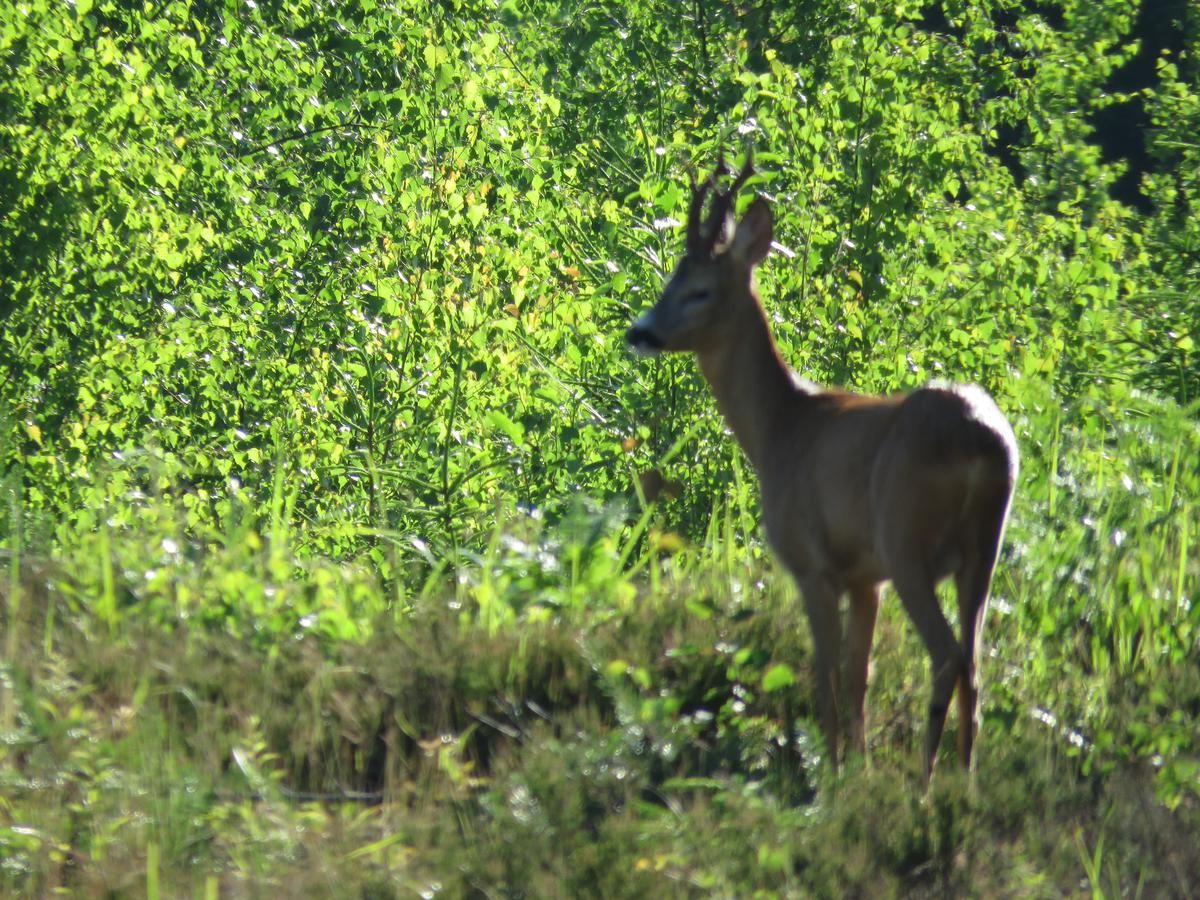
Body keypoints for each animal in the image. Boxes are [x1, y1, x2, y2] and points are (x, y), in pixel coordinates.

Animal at [624, 151, 1017, 777]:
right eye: (670, 281)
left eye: (699, 291)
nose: (640, 332)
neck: (779, 429)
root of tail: (981, 441)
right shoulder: (864, 578)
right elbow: (858, 677)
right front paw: (860, 768)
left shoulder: (812, 563)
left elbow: (824, 675)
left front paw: (831, 774)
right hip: (984, 550)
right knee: (975, 666)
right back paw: (966, 779)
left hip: (906, 538)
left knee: (946, 656)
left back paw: (926, 781)